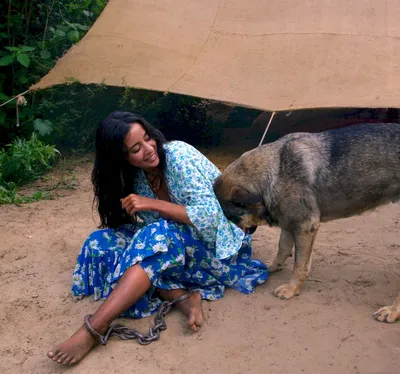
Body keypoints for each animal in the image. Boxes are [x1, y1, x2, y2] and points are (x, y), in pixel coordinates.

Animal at [214, 124, 400, 322]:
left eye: (230, 219)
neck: (276, 172)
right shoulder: (290, 223)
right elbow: (284, 249)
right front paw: (272, 267)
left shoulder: (304, 227)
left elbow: (298, 265)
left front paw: (292, 289)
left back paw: (392, 310)